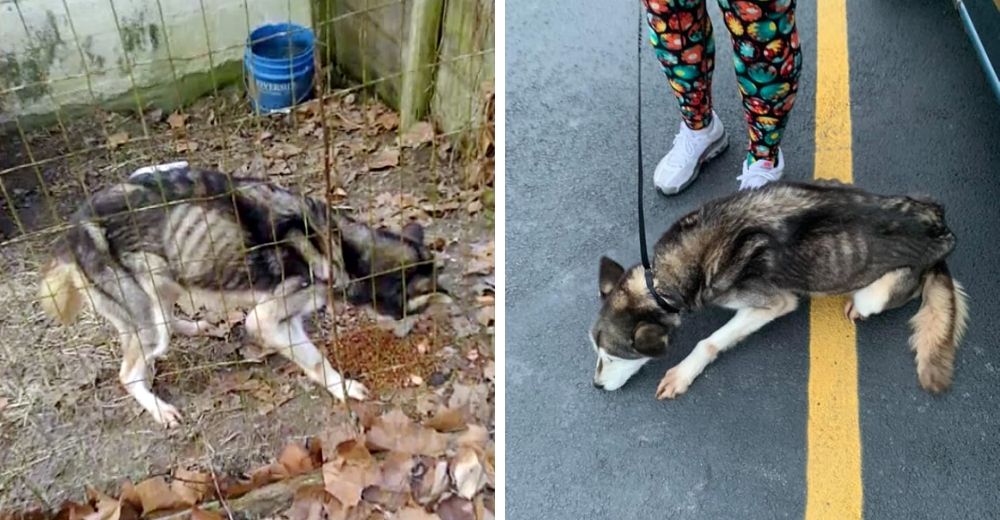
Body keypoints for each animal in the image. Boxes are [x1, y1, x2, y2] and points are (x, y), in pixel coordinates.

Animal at [37, 165, 448, 428]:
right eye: (416, 313)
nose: (411, 334)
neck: (344, 249)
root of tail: (70, 233)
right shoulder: (266, 322)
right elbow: (318, 362)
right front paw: (344, 389)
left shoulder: (289, 319)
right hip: (149, 326)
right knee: (128, 375)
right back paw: (158, 409)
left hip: (165, 292)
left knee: (167, 323)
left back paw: (196, 327)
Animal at [592, 182, 968, 398]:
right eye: (598, 355)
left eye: (611, 358)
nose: (596, 387)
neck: (659, 281)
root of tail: (944, 230)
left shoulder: (774, 303)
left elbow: (709, 341)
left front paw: (683, 373)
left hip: (873, 294)